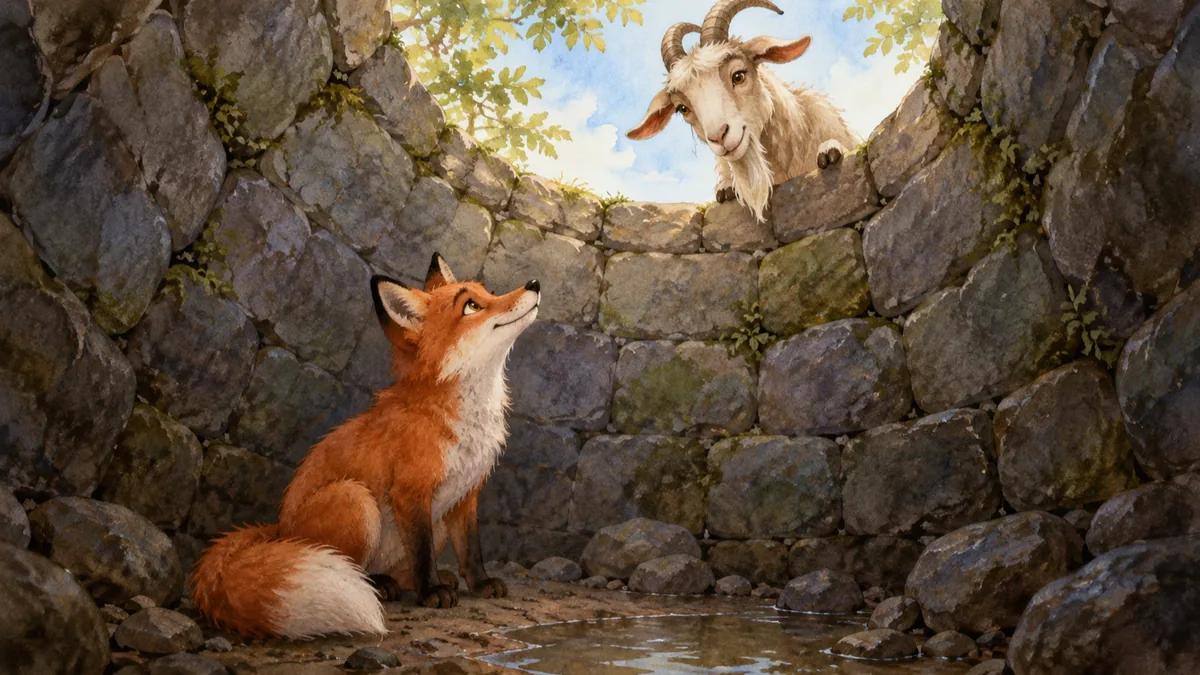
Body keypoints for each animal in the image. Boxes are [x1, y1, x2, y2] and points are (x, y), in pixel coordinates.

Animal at [189, 254, 541, 639]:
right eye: (471, 306)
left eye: (488, 292)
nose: (534, 284)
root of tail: (279, 532)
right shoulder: (410, 492)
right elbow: (422, 554)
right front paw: (431, 592)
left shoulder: (465, 494)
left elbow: (471, 550)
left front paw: (478, 585)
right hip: (357, 501)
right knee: (352, 567)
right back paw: (382, 585)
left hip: (431, 522)